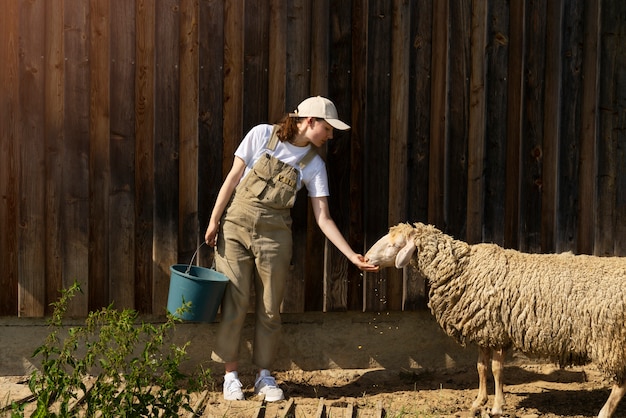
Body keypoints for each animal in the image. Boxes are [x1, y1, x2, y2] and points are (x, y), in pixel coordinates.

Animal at [364, 224, 620, 416]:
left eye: (394, 245)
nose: (365, 258)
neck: (463, 268)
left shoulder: (496, 331)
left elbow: (496, 369)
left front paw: (497, 406)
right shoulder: (483, 330)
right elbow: (481, 367)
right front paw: (479, 401)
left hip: (610, 342)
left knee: (619, 385)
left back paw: (603, 413)